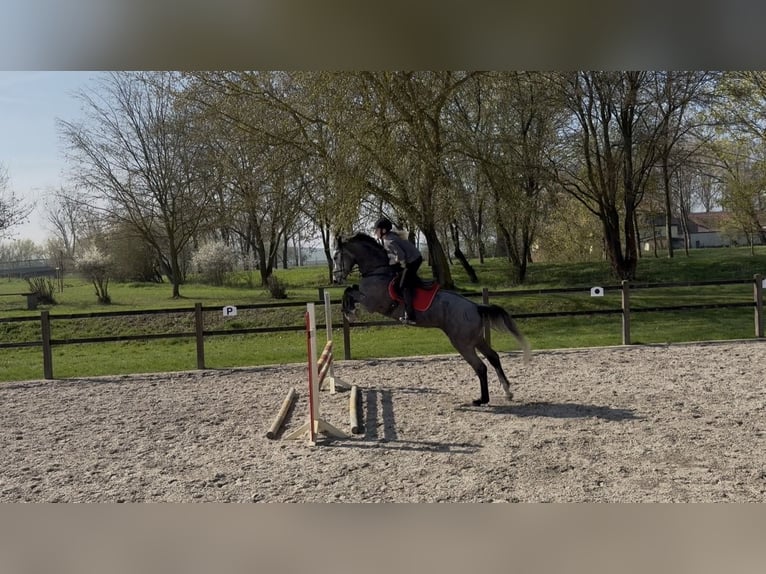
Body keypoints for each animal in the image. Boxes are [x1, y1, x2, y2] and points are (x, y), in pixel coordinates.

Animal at [332, 232, 531, 406]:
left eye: (335, 257)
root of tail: (475, 307)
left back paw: (482, 400)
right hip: (476, 339)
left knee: (480, 367)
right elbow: (350, 289)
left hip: (462, 342)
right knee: (493, 357)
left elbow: (350, 292)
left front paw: (350, 312)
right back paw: (507, 391)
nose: (335, 280)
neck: (377, 271)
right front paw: (347, 309)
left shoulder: (371, 303)